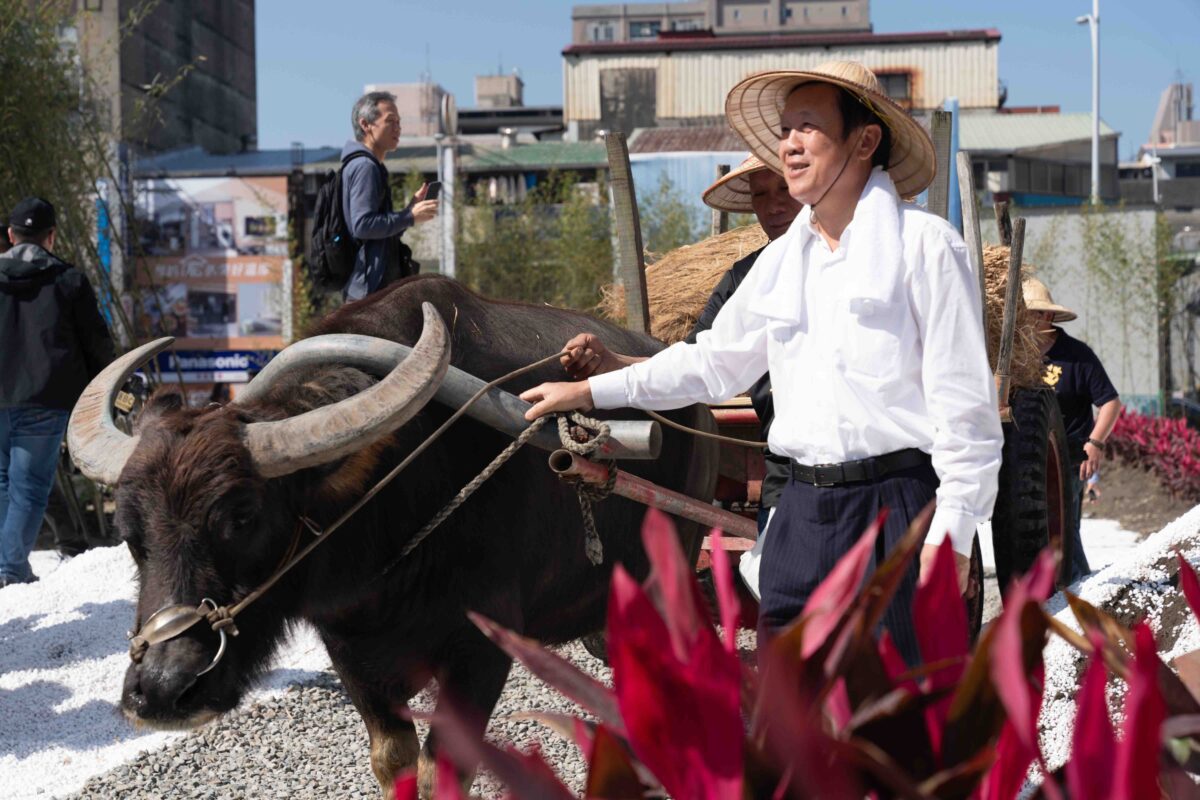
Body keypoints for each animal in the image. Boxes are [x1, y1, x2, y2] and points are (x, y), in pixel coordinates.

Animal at [70, 275, 715, 796]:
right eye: (130, 535)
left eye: (242, 517)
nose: (162, 689)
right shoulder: (351, 654)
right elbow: (392, 759)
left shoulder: (480, 647)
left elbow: (442, 770)